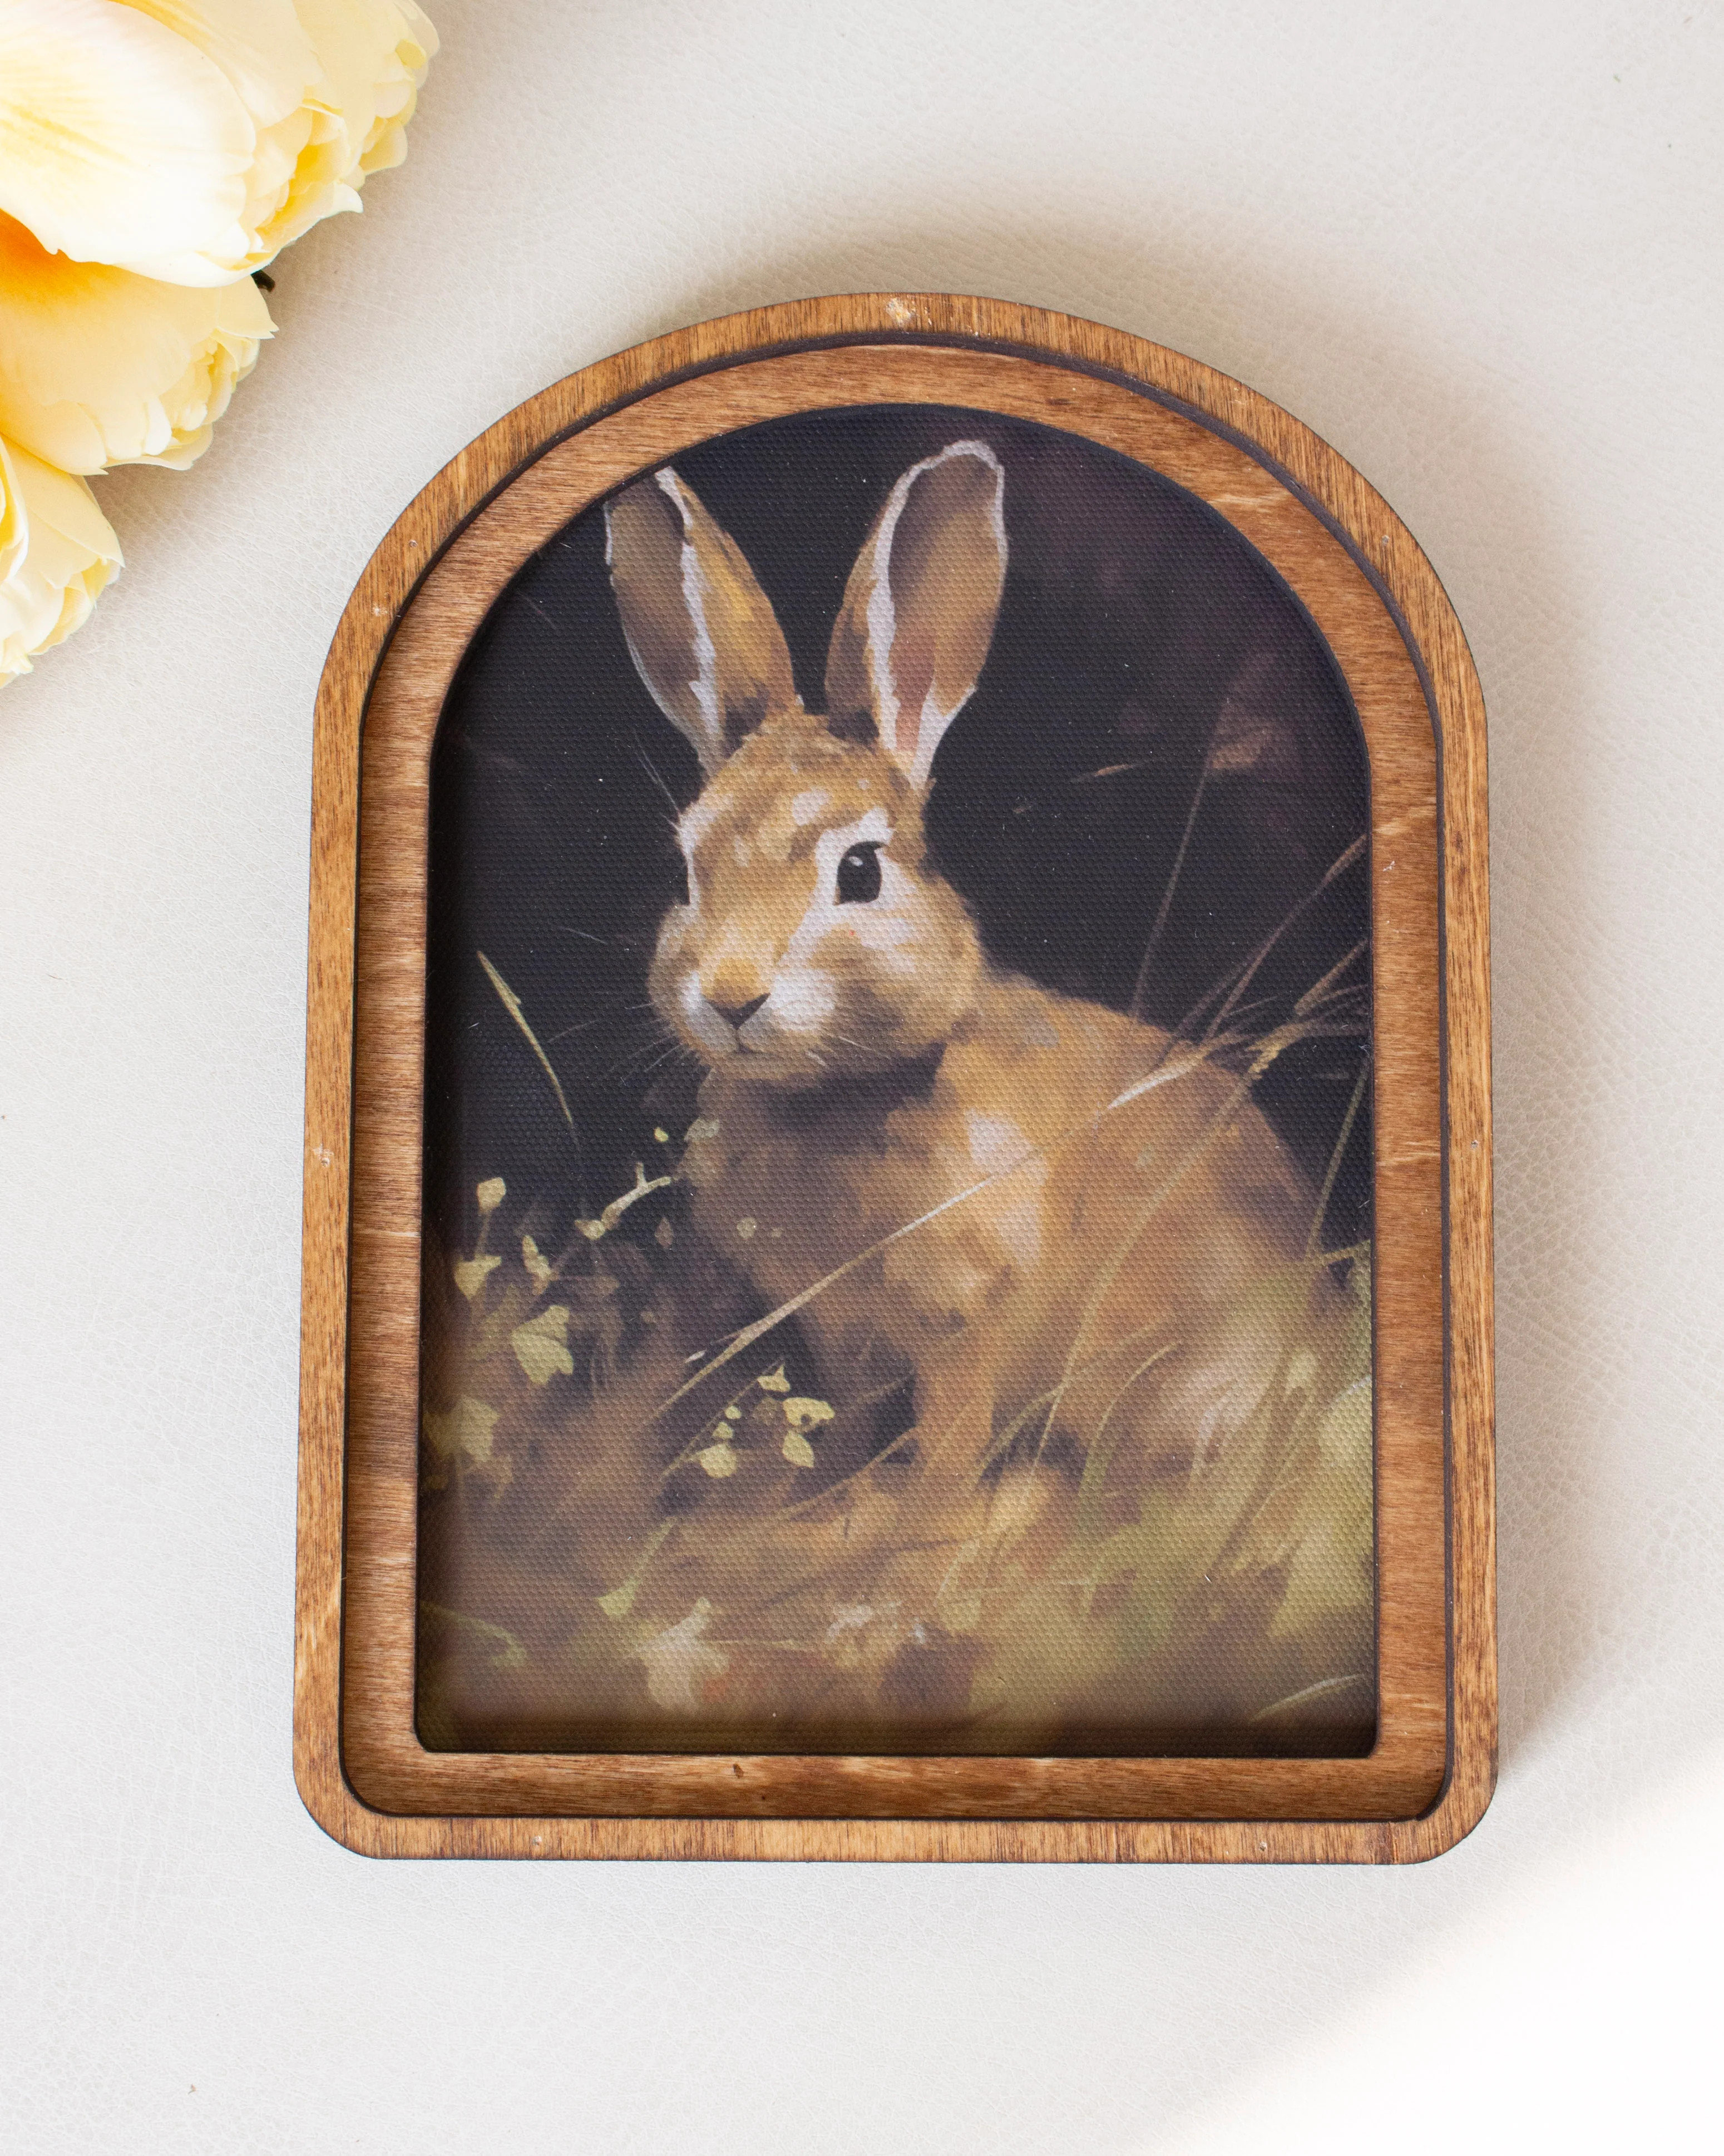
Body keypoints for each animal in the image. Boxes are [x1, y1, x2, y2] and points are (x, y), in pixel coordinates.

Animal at [603, 439, 1334, 1512]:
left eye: (860, 871)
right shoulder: (844, 1340)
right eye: (690, 868)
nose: (732, 997)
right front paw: (825, 1504)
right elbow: (846, 1428)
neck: (838, 1099)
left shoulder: (962, 1322)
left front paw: (918, 1525)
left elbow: (948, 1441)